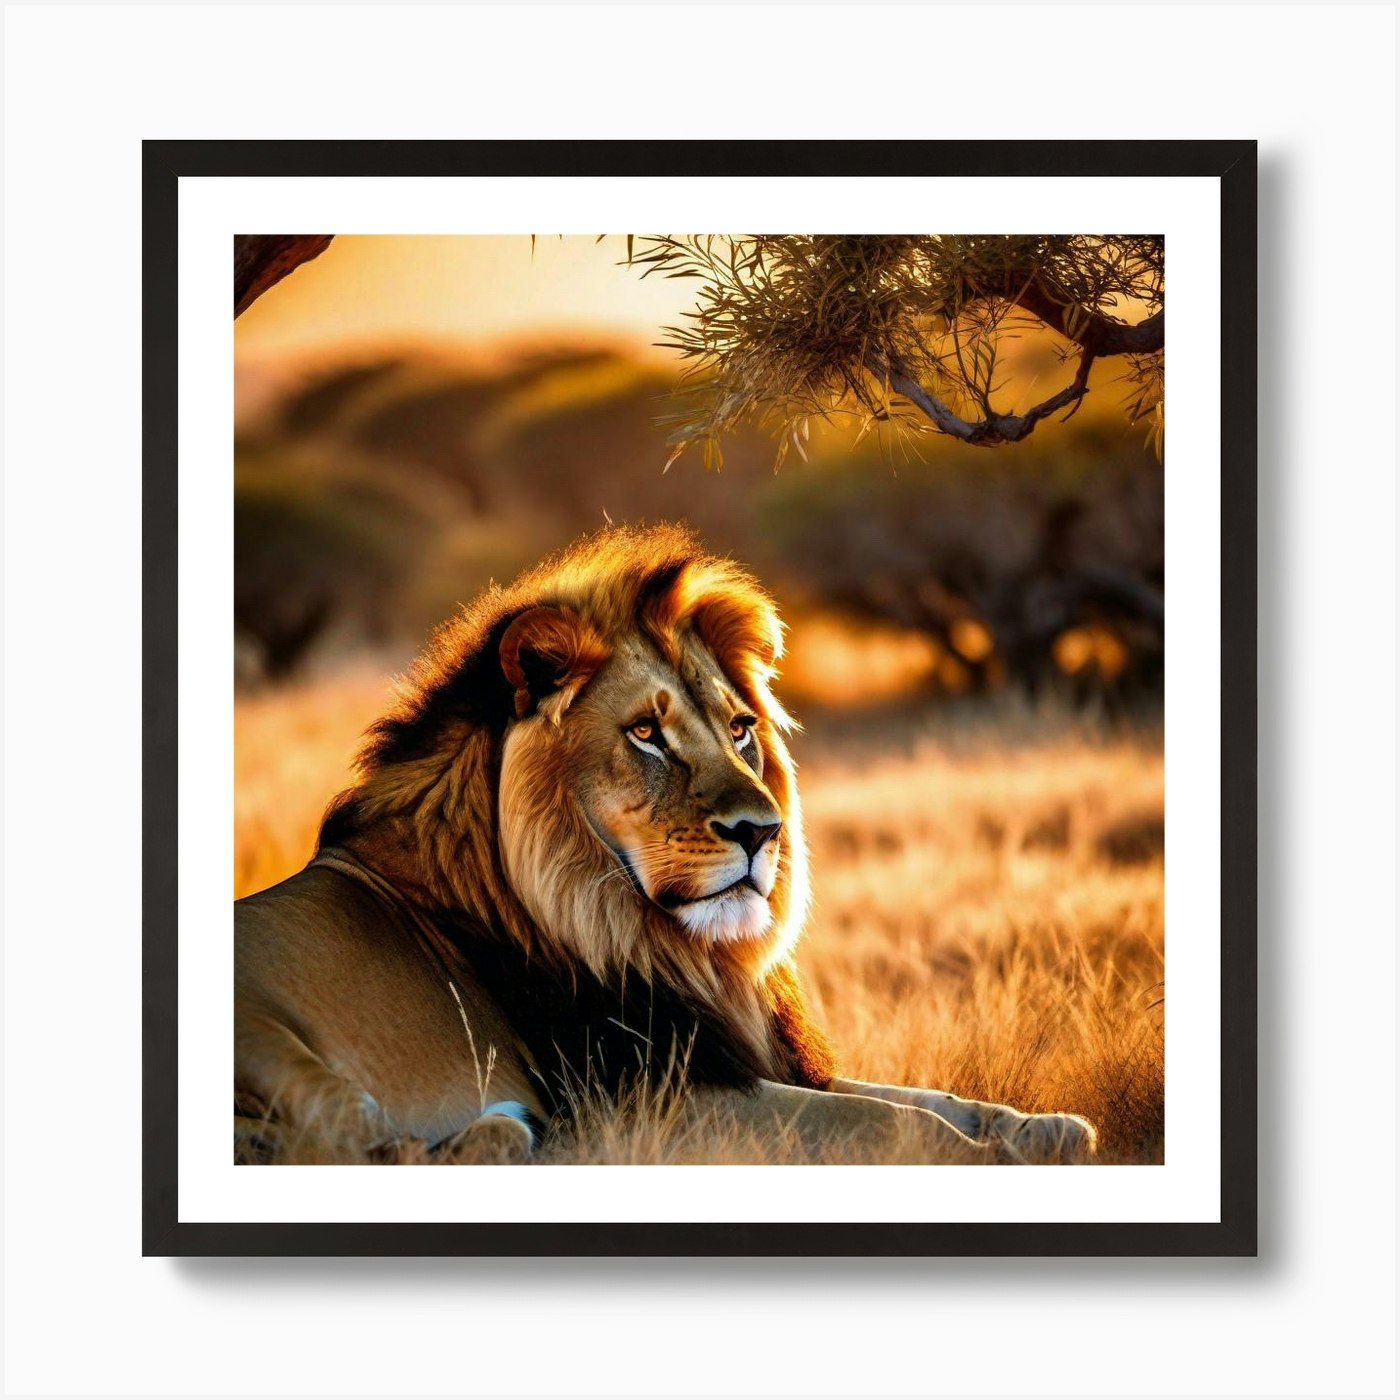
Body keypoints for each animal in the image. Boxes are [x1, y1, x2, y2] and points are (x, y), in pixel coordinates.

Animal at [235, 524, 1097, 1165]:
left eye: (740, 729)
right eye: (646, 734)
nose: (762, 831)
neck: (657, 942)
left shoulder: (740, 1059)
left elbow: (927, 1097)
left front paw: (1051, 1129)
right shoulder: (654, 1099)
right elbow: (893, 1122)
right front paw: (996, 1160)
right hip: (272, 1035)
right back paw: (514, 1131)